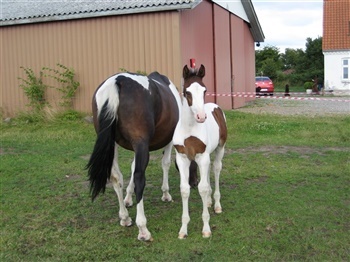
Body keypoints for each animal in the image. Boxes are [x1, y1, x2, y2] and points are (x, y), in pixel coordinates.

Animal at [86, 70, 182, 242]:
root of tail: (118, 81)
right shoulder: (169, 140)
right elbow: (165, 163)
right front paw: (166, 194)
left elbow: (131, 168)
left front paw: (128, 198)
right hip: (140, 143)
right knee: (139, 178)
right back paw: (142, 228)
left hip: (113, 144)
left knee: (116, 177)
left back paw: (125, 218)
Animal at [174, 64, 228, 238]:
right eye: (187, 92)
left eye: (205, 90)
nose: (201, 116)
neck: (189, 128)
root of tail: (215, 107)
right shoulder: (182, 158)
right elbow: (185, 189)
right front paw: (183, 229)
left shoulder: (202, 157)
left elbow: (202, 189)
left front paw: (206, 228)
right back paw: (210, 201)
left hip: (220, 148)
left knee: (216, 169)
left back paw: (216, 204)